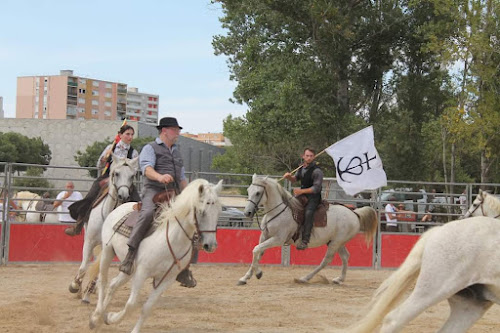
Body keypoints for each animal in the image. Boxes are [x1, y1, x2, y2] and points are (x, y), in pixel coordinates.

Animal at [67, 154, 139, 300]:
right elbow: (83, 267)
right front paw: (75, 286)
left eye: (132, 175)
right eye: (116, 173)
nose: (123, 195)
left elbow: (98, 268)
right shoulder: (89, 241)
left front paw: (88, 291)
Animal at [90, 179, 223, 332]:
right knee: (103, 281)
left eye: (218, 212)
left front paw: (113, 319)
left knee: (113, 285)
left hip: (129, 270)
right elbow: (131, 304)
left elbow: (147, 308)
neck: (172, 239)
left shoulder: (166, 279)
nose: (210, 245)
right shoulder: (142, 273)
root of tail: (119, 208)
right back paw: (96, 317)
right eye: (201, 212)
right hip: (108, 252)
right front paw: (111, 317)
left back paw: (101, 317)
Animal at [237, 174, 376, 286]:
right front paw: (245, 278)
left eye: (258, 193)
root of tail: (355, 213)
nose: (247, 212)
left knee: (326, 261)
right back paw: (339, 279)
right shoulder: (265, 236)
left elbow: (256, 250)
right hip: (337, 242)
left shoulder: (278, 239)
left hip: (335, 243)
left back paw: (304, 278)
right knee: (345, 257)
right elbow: (258, 253)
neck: (278, 212)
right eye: (249, 190)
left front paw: (258, 273)